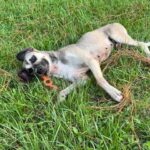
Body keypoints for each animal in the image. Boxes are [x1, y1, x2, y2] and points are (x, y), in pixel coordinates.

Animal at [16, 22, 150, 102]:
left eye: (32, 58)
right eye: (30, 71)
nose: (38, 70)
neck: (56, 65)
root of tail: (115, 23)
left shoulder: (91, 61)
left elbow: (100, 80)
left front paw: (114, 93)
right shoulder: (82, 80)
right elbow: (64, 90)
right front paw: (60, 99)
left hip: (120, 37)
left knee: (141, 44)